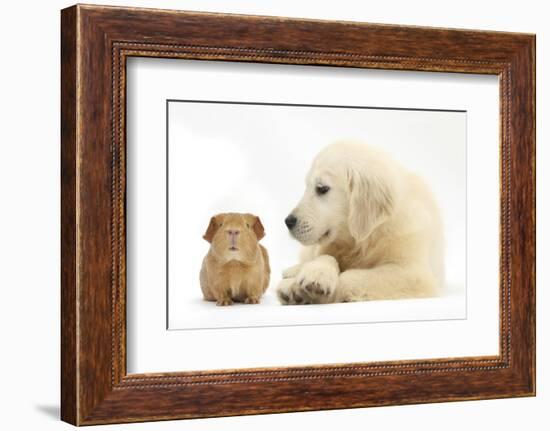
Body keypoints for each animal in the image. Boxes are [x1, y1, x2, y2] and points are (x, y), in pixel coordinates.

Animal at [278, 143, 446, 306]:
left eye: (322, 188)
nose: (288, 222)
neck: (366, 238)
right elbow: (326, 256)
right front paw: (314, 275)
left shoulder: (413, 273)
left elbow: (352, 277)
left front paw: (299, 289)